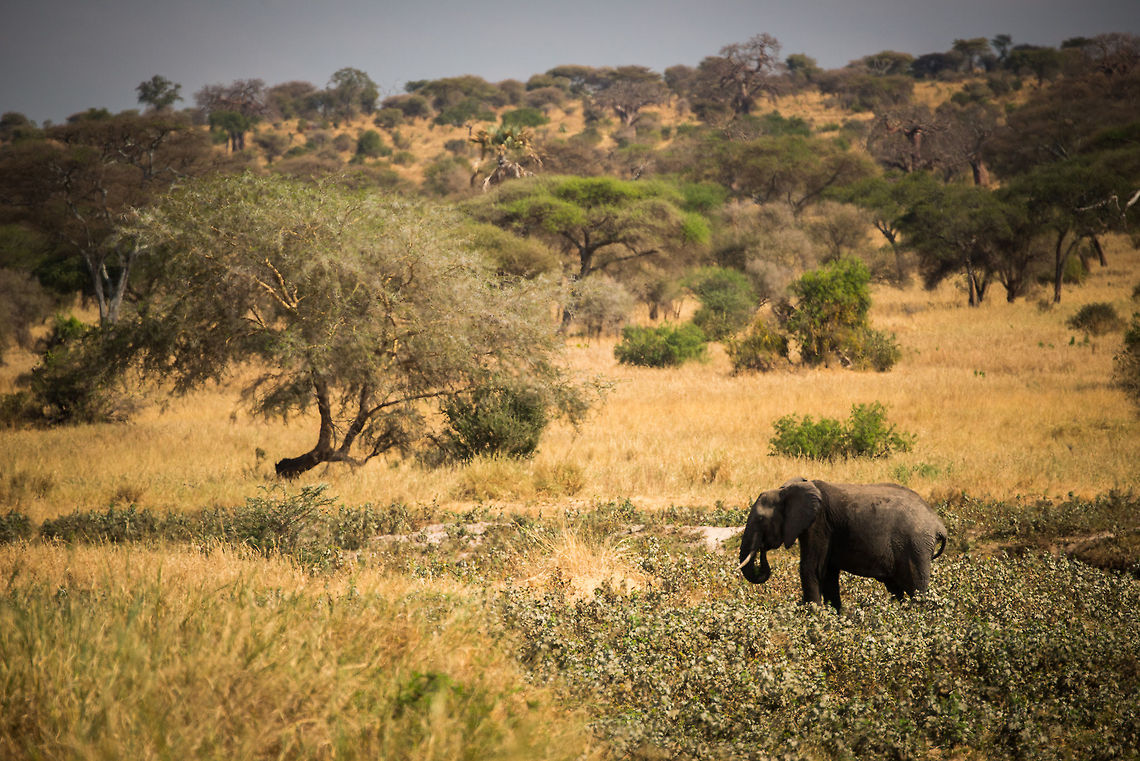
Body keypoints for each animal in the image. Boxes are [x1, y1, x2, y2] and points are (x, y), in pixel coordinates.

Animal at [738, 478, 947, 611]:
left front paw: (813, 617)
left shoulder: (819, 524)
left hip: (916, 546)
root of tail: (939, 525)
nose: (762, 548)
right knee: (896, 589)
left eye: (761, 519)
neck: (787, 491)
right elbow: (828, 574)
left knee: (916, 589)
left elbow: (811, 568)